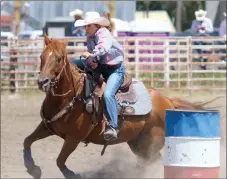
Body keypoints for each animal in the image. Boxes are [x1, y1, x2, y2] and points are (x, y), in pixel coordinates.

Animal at [23, 34, 209, 179]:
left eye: (58, 59)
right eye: (41, 57)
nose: (42, 82)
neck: (72, 96)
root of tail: (167, 100)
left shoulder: (74, 138)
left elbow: (60, 161)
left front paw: (72, 174)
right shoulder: (47, 127)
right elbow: (27, 141)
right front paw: (33, 169)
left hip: (150, 143)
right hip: (138, 143)